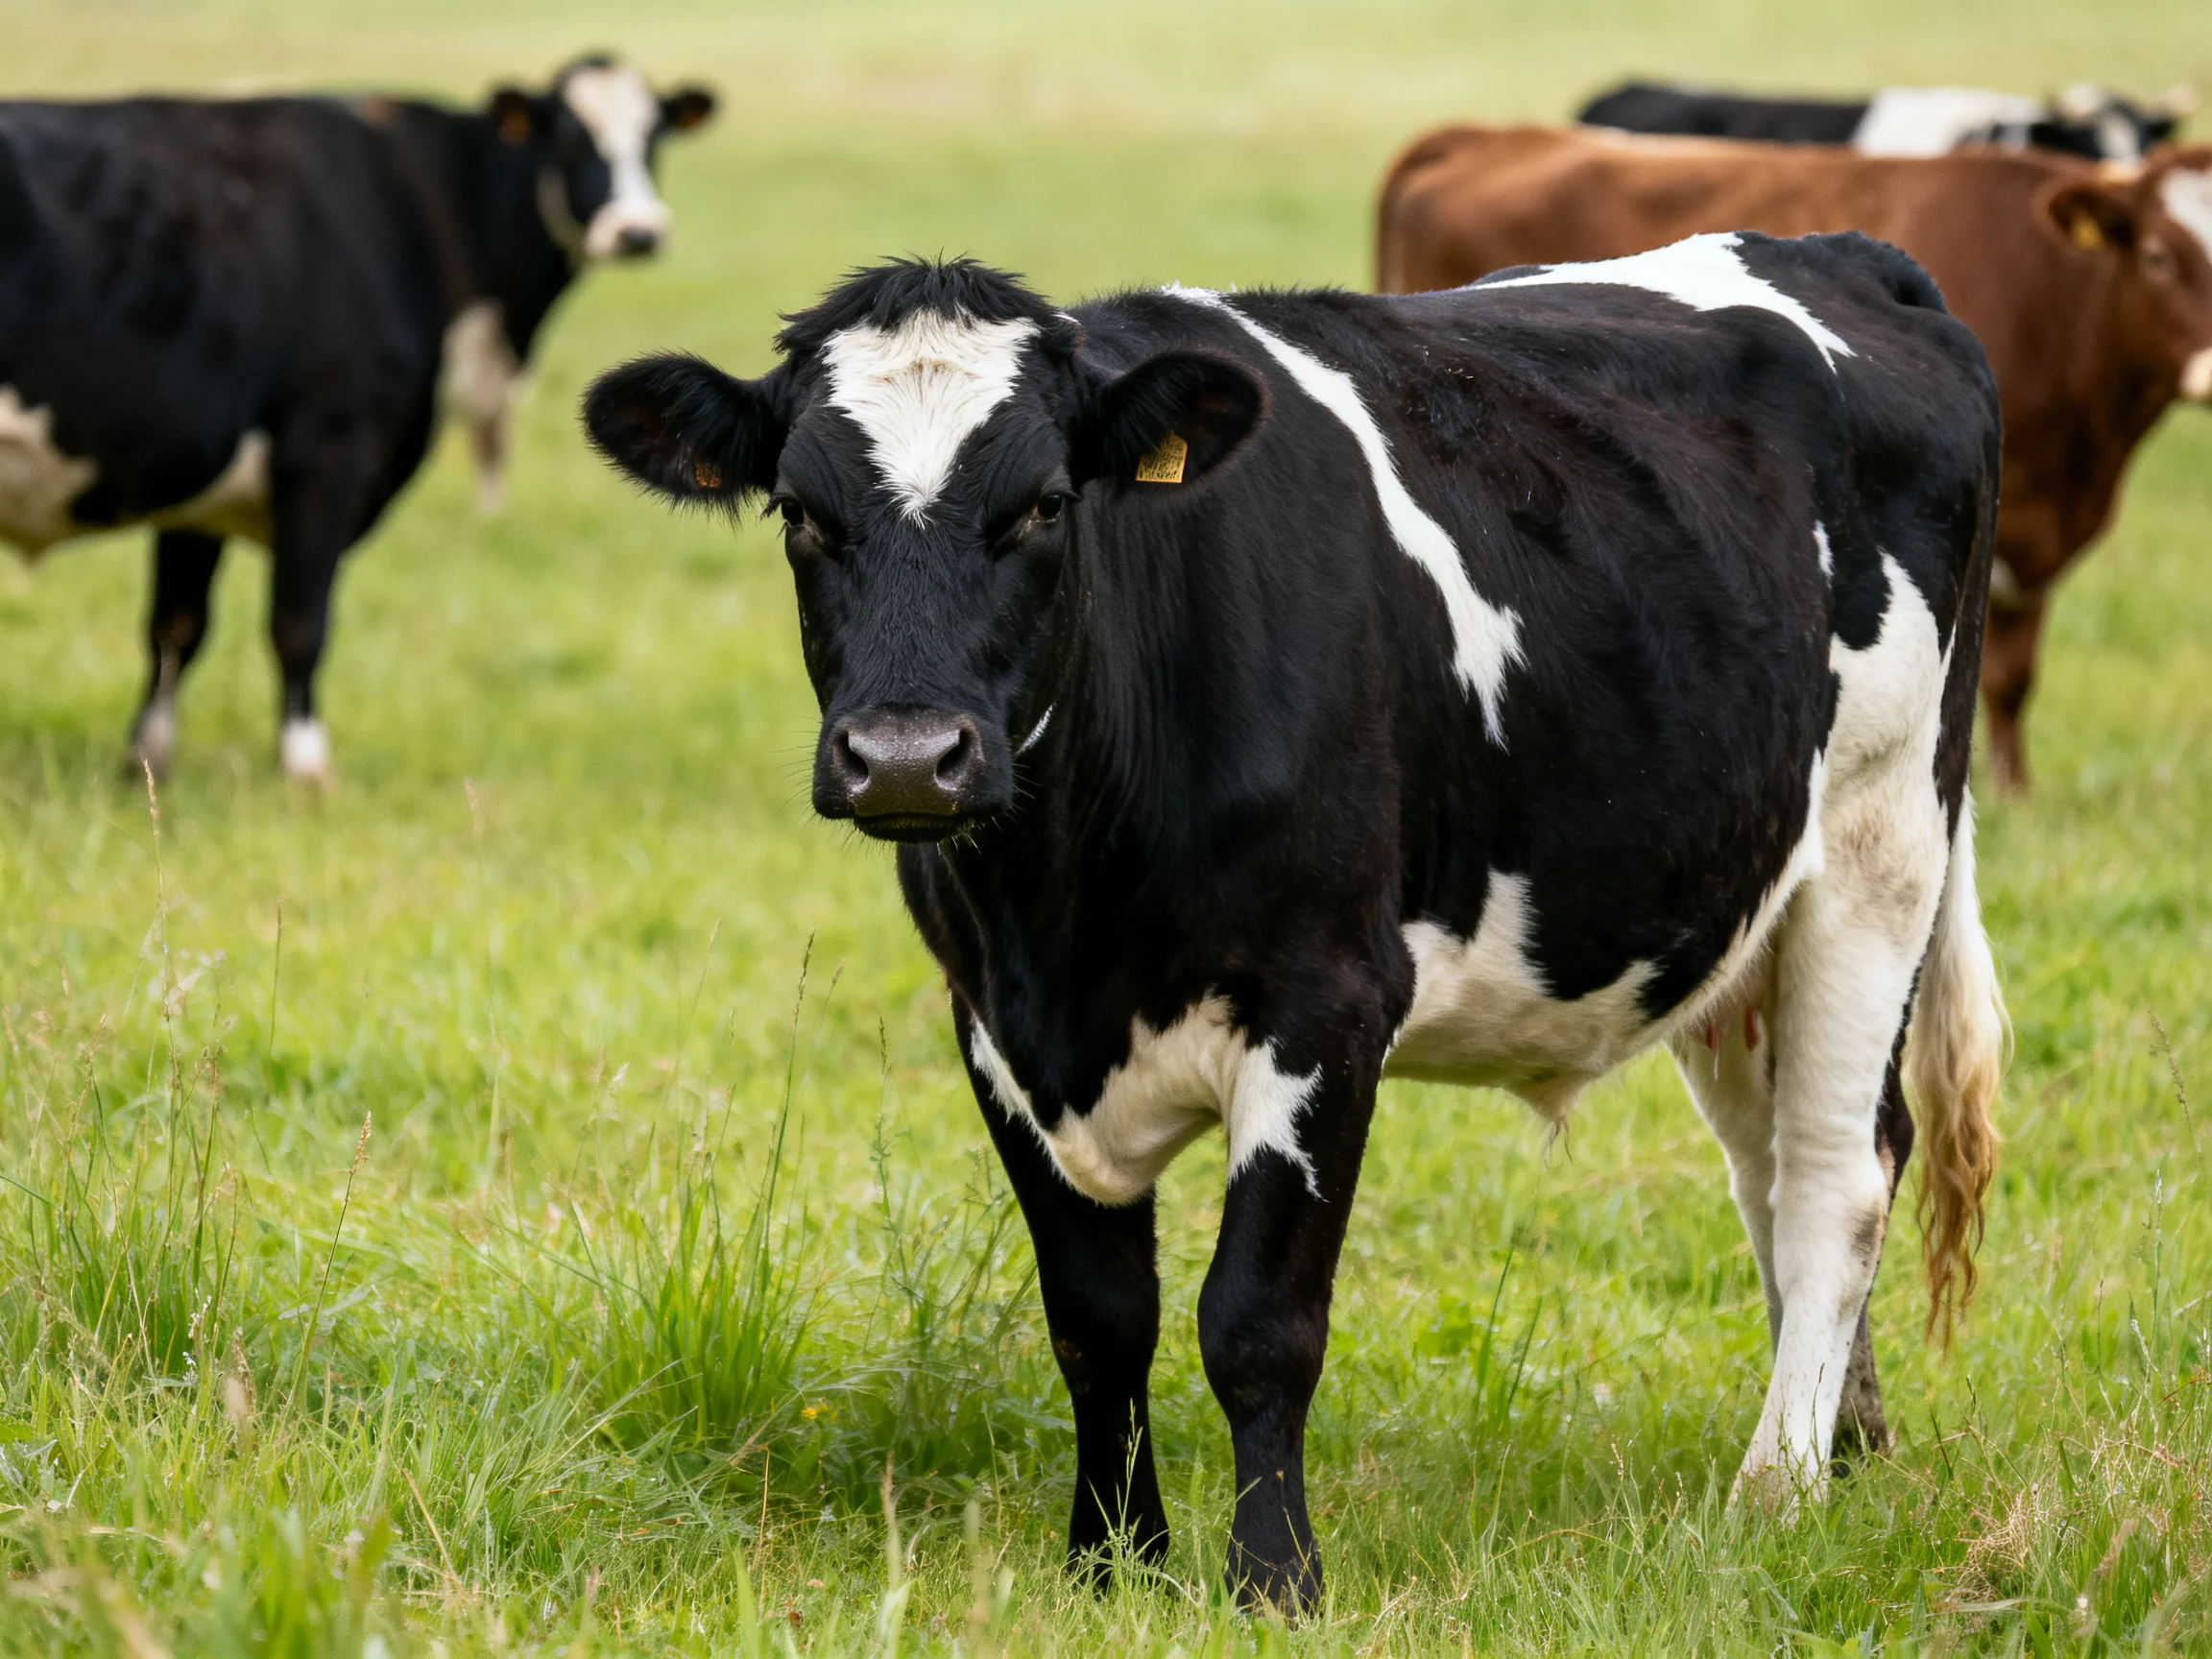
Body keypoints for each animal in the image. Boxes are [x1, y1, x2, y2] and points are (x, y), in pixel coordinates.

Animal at [0, 56, 714, 782]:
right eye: (570, 139)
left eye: (654, 138)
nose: (638, 231)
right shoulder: (332, 447)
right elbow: (299, 622)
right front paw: (306, 768)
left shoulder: (199, 480)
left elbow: (175, 625)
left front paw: (146, 761)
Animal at [582, 246, 2007, 1612]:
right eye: (799, 513)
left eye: (1046, 502)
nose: (904, 758)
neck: (1070, 916)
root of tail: (1849, 257)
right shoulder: (994, 1026)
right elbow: (1098, 1320)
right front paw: (1112, 1565)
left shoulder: (1326, 1004)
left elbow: (1258, 1325)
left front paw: (1274, 1581)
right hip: (1730, 911)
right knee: (1768, 1171)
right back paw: (1845, 1442)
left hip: (1882, 841)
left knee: (1840, 1172)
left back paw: (1777, 1487)